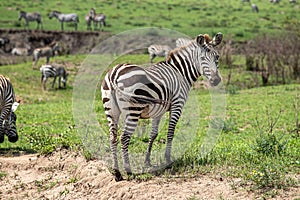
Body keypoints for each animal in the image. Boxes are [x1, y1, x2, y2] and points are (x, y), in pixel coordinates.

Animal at [101, 32, 223, 180]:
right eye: (202, 58)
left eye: (217, 57)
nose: (216, 80)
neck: (180, 72)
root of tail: (113, 74)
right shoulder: (177, 104)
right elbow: (170, 132)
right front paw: (168, 160)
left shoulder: (158, 111)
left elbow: (153, 134)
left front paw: (147, 161)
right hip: (133, 110)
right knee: (124, 138)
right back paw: (128, 171)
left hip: (111, 111)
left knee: (113, 137)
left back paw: (117, 173)